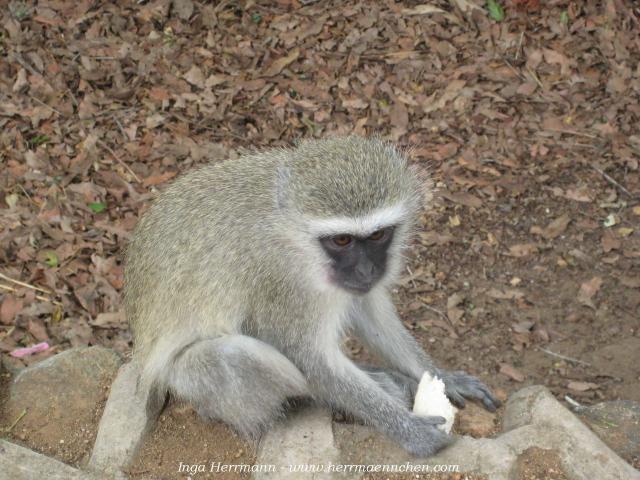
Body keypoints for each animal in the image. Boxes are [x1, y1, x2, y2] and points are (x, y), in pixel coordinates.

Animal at [122, 136, 498, 458]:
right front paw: (410, 431)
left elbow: (367, 310)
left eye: (378, 235)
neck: (291, 232)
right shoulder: (282, 279)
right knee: (234, 358)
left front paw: (442, 377)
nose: (366, 270)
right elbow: (310, 359)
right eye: (342, 240)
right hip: (187, 382)